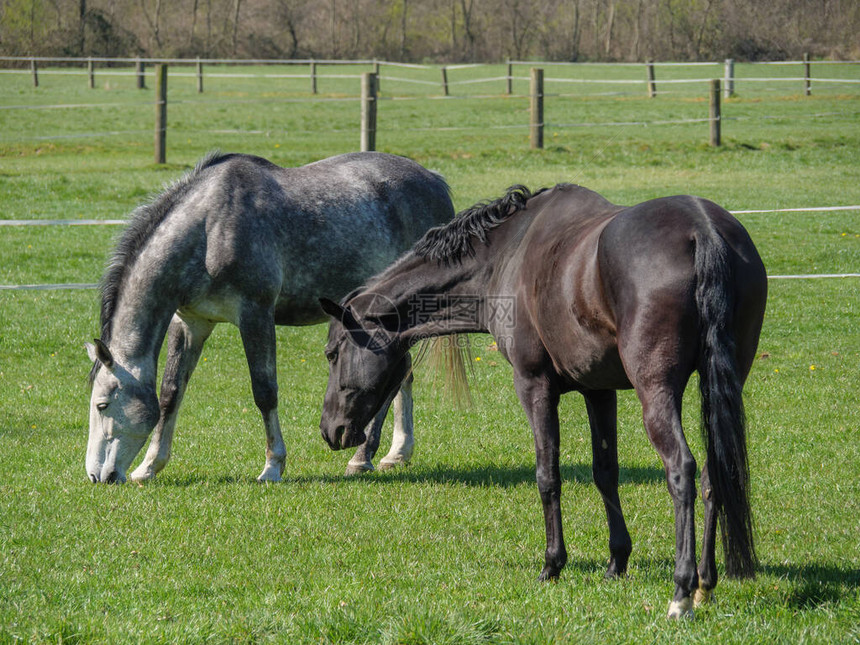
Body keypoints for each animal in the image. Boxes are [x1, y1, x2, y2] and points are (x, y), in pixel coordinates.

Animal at [84, 151, 454, 484]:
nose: (96, 475)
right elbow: (170, 393)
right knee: (402, 374)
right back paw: (397, 453)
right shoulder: (190, 322)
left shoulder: (255, 315)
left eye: (102, 405)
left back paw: (362, 458)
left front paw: (273, 466)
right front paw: (148, 467)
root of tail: (435, 180)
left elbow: (264, 391)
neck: (209, 230)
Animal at [320, 184, 768, 616]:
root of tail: (701, 228)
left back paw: (682, 591)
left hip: (656, 391)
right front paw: (616, 562)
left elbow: (547, 475)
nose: (330, 430)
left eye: (331, 353)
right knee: (712, 473)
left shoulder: (534, 387)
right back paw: (705, 585)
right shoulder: (598, 390)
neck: (508, 254)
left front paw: (553, 564)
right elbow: (604, 471)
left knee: (681, 469)